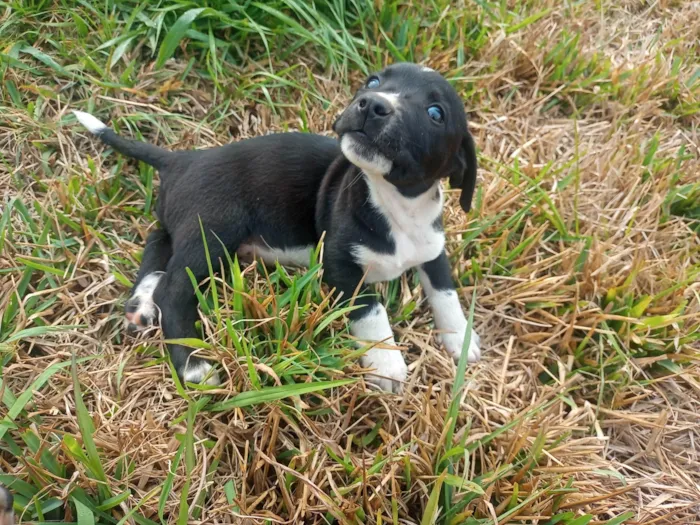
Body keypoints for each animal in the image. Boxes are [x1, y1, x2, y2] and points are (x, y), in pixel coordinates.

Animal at [75, 61, 482, 390]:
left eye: (435, 113)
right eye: (374, 80)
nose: (371, 103)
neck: (397, 204)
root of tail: (182, 159)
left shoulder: (432, 249)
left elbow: (445, 292)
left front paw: (461, 339)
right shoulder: (340, 265)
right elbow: (371, 310)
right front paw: (386, 363)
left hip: (188, 227)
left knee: (156, 247)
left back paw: (140, 305)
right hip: (214, 230)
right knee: (173, 289)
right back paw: (193, 367)